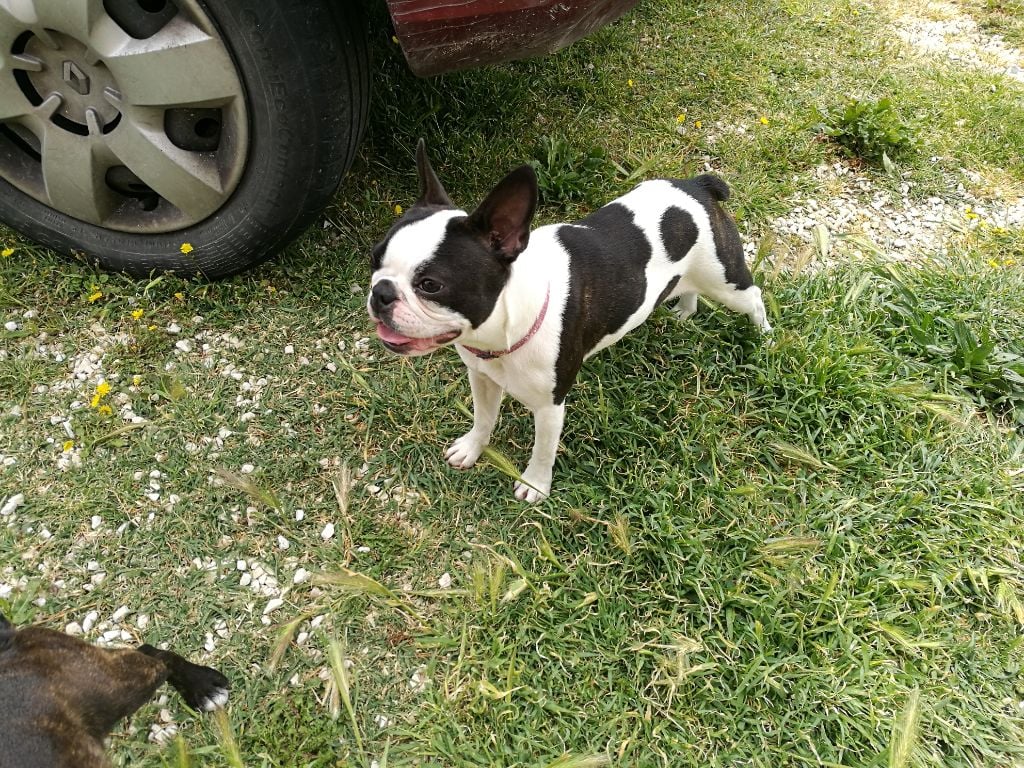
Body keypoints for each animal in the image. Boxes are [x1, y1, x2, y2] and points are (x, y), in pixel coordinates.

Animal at [368, 140, 770, 501]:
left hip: (725, 280)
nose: (380, 292)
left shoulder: (550, 407)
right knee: (689, 288)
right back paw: (686, 309)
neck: (504, 328)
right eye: (374, 259)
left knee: (753, 297)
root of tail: (696, 185)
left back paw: (764, 336)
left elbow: (543, 450)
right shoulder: (482, 378)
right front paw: (472, 447)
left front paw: (534, 485)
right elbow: (484, 418)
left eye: (430, 285)